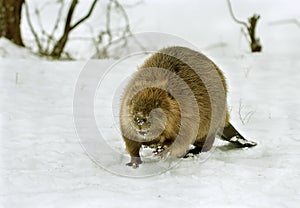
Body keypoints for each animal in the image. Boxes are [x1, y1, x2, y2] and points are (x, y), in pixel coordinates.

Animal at [120, 45, 256, 167]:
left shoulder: (190, 111)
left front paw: (159, 150)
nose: (139, 119)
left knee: (206, 144)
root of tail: (226, 120)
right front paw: (133, 163)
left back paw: (189, 153)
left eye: (157, 104)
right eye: (133, 101)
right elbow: (131, 142)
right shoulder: (124, 119)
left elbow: (180, 137)